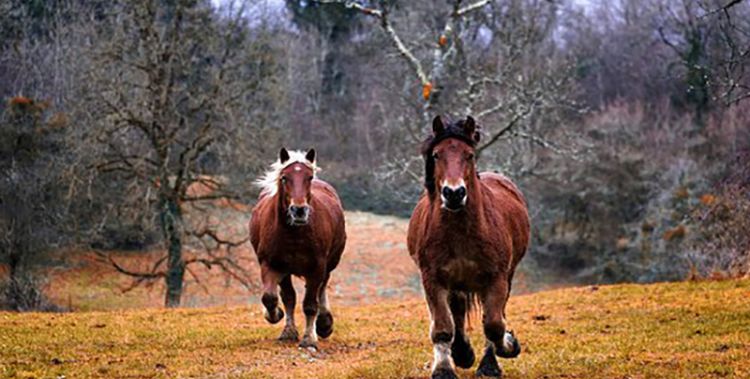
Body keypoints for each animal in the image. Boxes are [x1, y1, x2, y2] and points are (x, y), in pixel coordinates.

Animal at [251, 148, 348, 350]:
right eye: (284, 178)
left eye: (309, 177)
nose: (299, 210)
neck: (294, 234)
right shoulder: (271, 264)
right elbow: (272, 298)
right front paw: (278, 319)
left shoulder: (317, 267)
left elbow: (310, 304)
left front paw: (309, 338)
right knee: (289, 296)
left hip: (328, 264)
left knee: (322, 288)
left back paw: (324, 324)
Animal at [408, 116, 532, 379]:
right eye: (436, 155)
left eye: (469, 155)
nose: (454, 193)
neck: (461, 231)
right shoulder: (433, 279)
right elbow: (443, 327)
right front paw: (444, 368)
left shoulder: (496, 278)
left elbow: (494, 324)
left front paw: (504, 350)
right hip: (457, 282)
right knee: (457, 311)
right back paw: (462, 353)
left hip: (505, 276)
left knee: (494, 314)